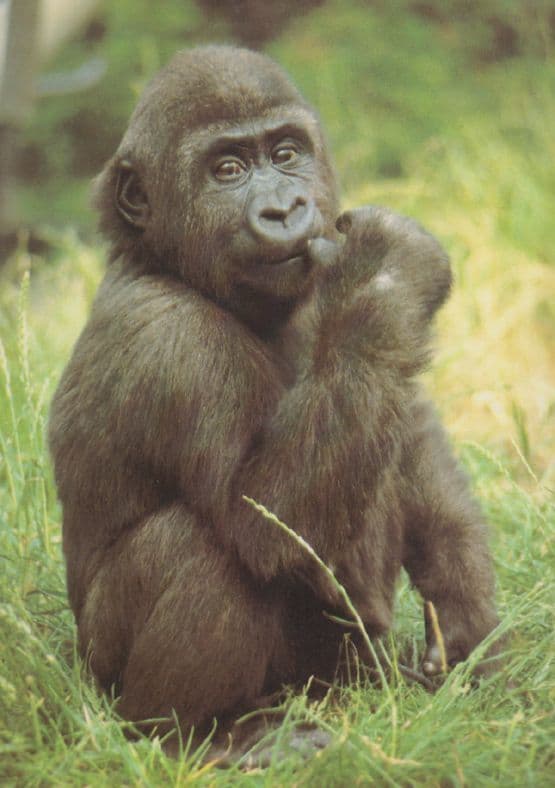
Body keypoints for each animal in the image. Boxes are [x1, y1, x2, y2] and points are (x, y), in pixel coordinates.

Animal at [48, 45, 500, 756]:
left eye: (286, 154)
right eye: (228, 170)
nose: (285, 210)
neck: (163, 261)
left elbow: (409, 428)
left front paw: (464, 615)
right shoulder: (175, 343)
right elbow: (266, 522)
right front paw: (388, 268)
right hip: (104, 684)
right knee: (203, 547)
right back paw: (199, 736)